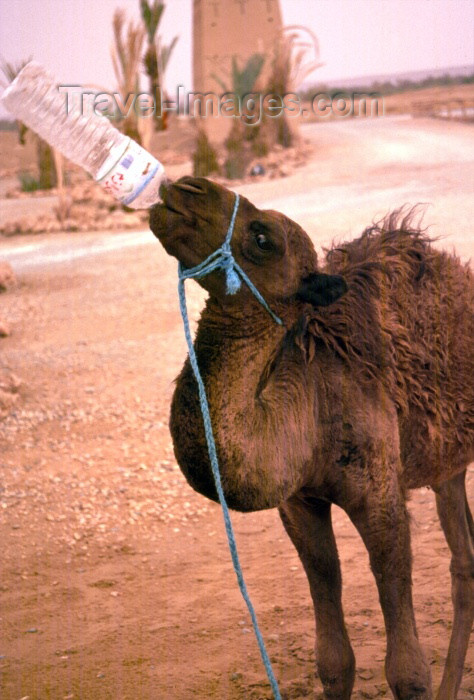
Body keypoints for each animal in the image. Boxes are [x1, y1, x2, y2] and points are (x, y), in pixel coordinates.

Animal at [149, 176, 474, 700]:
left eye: (263, 239)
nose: (183, 186)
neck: (310, 403)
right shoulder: (301, 503)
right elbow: (334, 659)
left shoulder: (381, 496)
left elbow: (407, 670)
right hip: (448, 460)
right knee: (465, 558)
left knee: (461, 561)